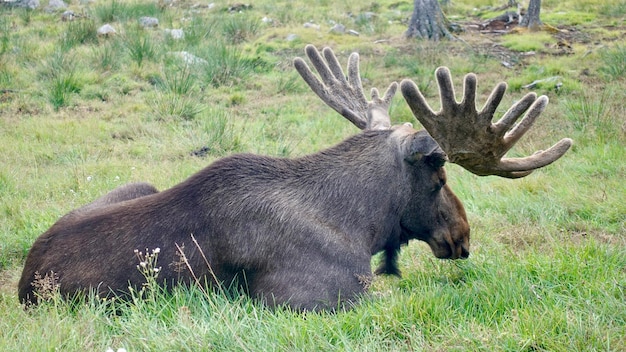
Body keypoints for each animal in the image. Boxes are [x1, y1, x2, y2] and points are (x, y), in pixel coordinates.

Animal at [18, 44, 572, 310]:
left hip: (136, 185)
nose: (463, 236)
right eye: (439, 180)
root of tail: (24, 283)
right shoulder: (314, 300)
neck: (361, 227)